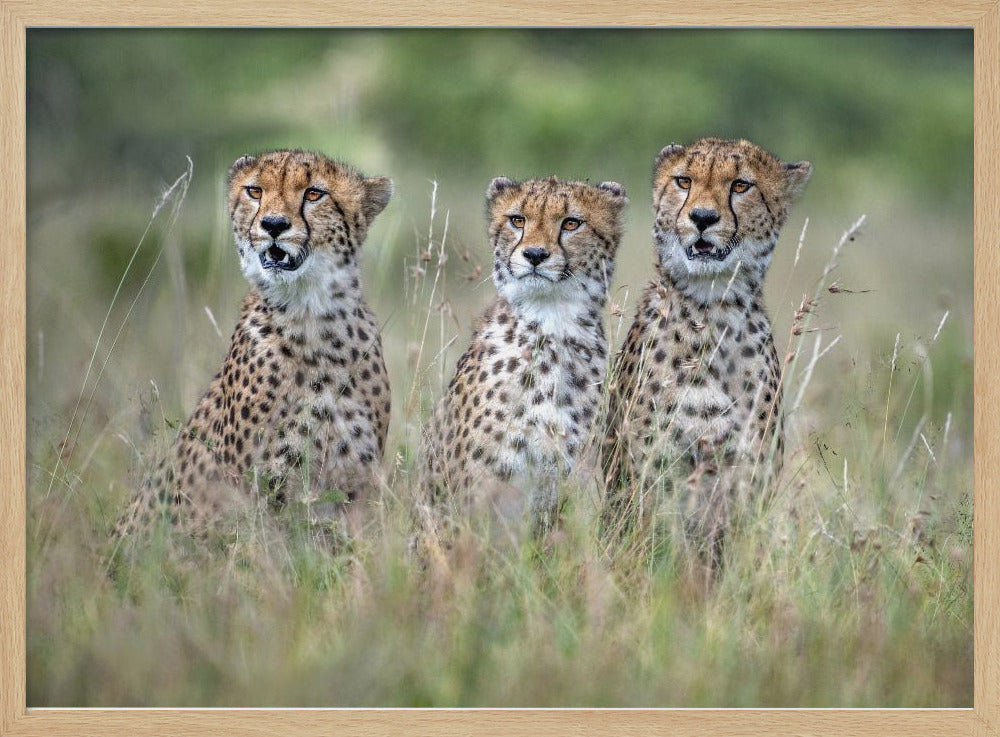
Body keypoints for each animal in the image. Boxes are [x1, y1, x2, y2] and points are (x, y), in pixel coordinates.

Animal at [113, 149, 393, 543]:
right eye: (255, 191)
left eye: (314, 194)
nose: (273, 224)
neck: (311, 315)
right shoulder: (256, 489)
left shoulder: (356, 486)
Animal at [601, 138, 812, 566]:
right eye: (684, 181)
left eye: (741, 186)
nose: (702, 217)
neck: (713, 308)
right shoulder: (655, 479)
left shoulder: (747, 479)